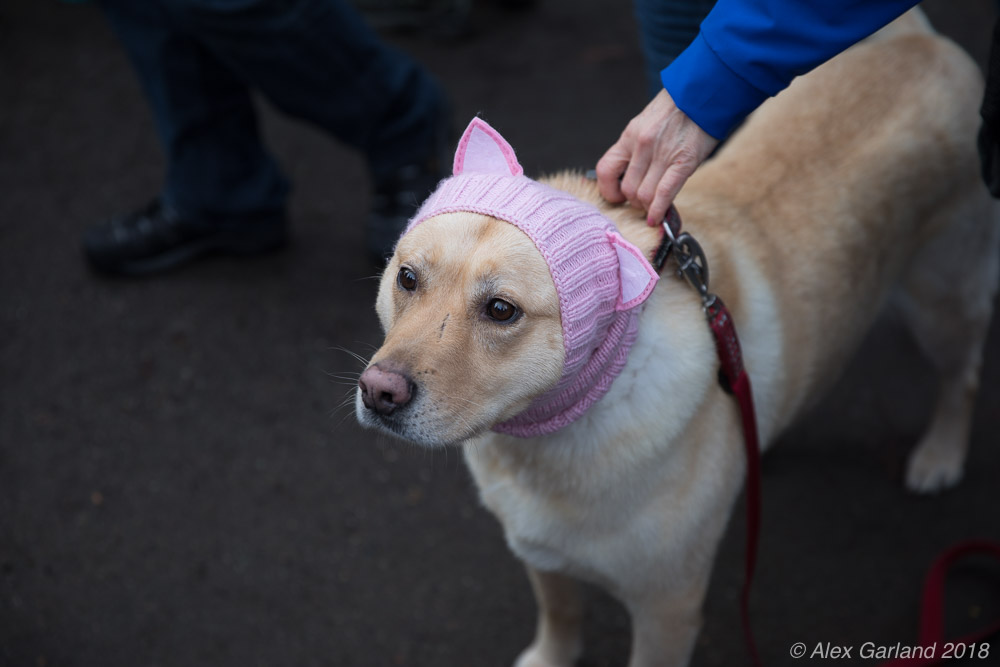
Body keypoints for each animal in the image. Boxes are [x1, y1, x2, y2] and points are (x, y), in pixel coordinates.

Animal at [356, 11, 998, 666]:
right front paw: (550, 655)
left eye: (501, 310)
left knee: (965, 374)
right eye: (407, 278)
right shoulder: (540, 554)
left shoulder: (667, 610)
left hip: (940, 305)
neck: (559, 431)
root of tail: (918, 40)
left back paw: (940, 455)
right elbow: (560, 615)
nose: (378, 392)